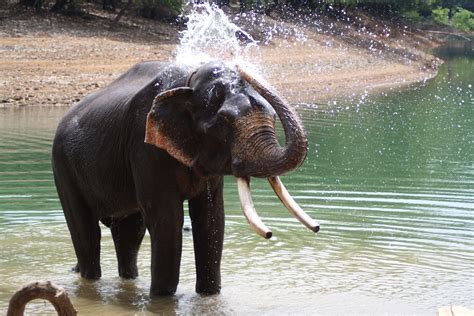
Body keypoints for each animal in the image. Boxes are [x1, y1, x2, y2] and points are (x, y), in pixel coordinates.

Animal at [51, 60, 318, 298]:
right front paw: (162, 300)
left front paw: (209, 297)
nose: (317, 228)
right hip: (63, 167)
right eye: (223, 122)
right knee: (86, 231)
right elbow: (167, 219)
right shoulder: (145, 146)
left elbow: (211, 218)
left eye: (272, 116)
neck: (190, 80)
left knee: (130, 233)